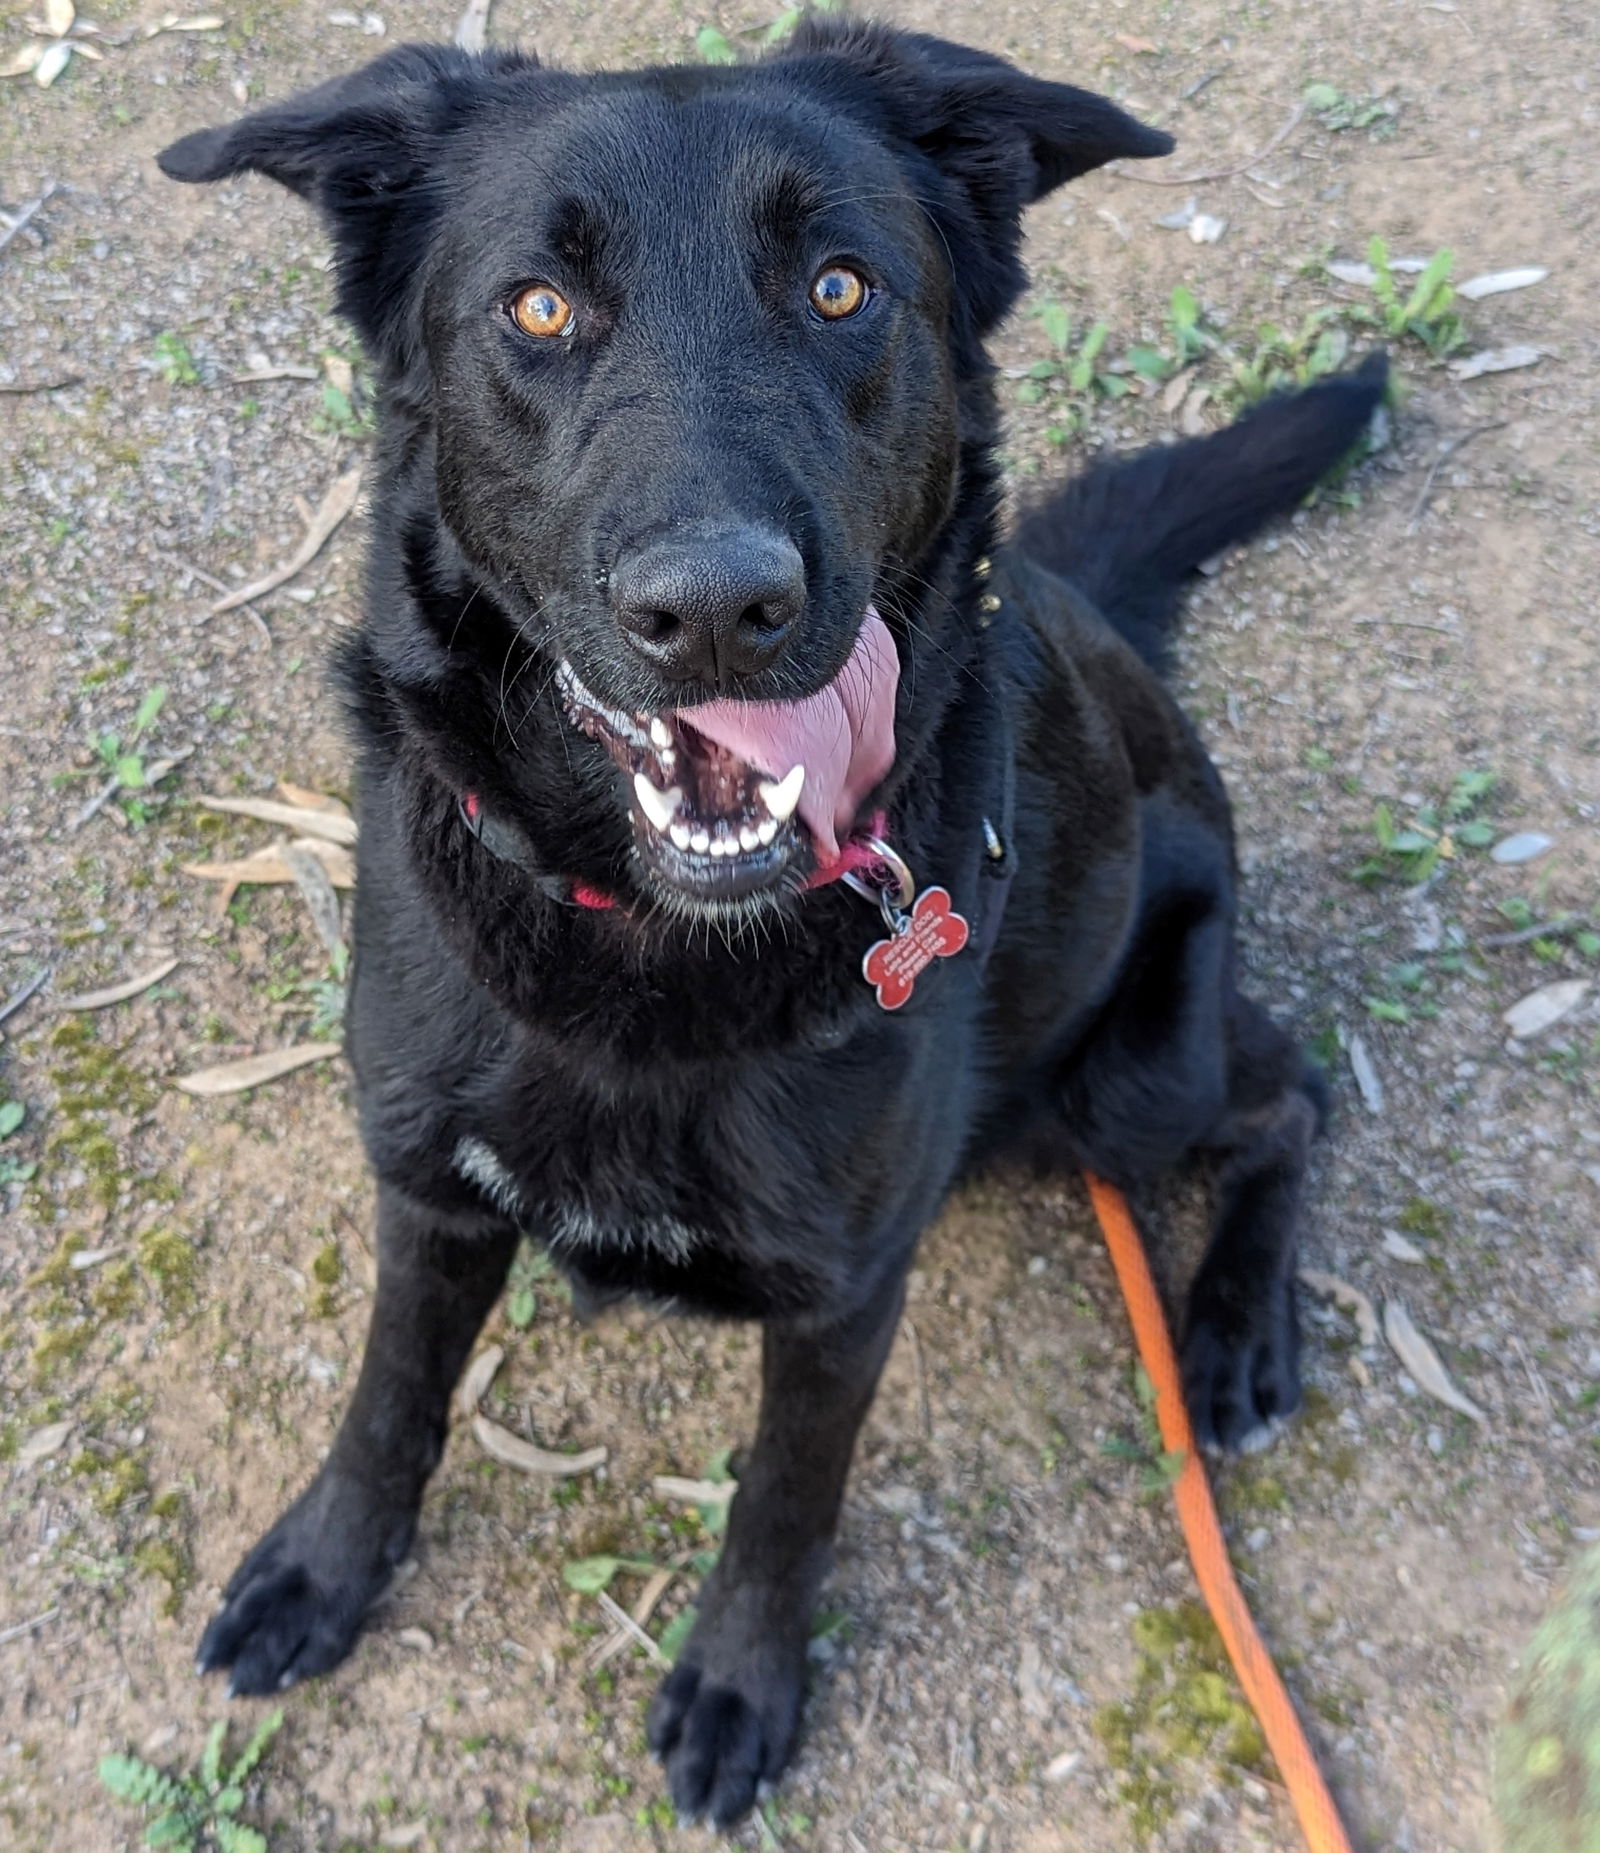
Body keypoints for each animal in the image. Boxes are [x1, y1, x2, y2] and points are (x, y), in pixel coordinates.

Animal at [163, 21, 1379, 1830]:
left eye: (838, 287)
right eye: (539, 308)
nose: (718, 608)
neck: (645, 943)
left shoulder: (839, 1293)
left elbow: (782, 1502)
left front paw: (741, 1682)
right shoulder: (429, 1190)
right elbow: (388, 1401)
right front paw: (324, 1568)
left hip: (1128, 1076)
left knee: (1292, 1095)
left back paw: (1232, 1328)